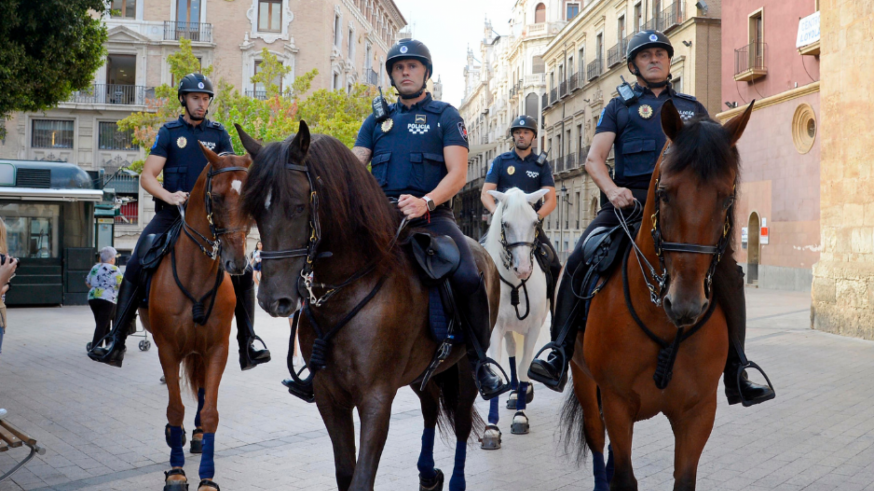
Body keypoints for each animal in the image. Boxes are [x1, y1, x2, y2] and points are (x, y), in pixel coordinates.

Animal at [140, 145, 252, 491]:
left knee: (201, 391)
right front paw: (176, 472)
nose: (237, 262)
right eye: (215, 196)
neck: (196, 275)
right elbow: (175, 408)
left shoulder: (217, 349)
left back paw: (199, 436)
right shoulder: (167, 348)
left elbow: (211, 410)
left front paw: (207, 478)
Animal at [238, 122, 502, 491]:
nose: (273, 299)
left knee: (462, 421)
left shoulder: (375, 398)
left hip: (464, 368)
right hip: (422, 372)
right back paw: (428, 473)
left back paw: (456, 479)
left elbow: (361, 479)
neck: (347, 290)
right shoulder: (329, 396)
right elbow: (345, 473)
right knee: (429, 408)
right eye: (257, 211)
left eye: (298, 206)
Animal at [480, 188, 550, 448]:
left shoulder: (533, 328)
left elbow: (523, 367)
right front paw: (491, 428)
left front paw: (520, 416)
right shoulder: (495, 330)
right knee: (511, 352)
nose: (523, 269)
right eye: (506, 224)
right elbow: (500, 369)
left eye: (535, 223)